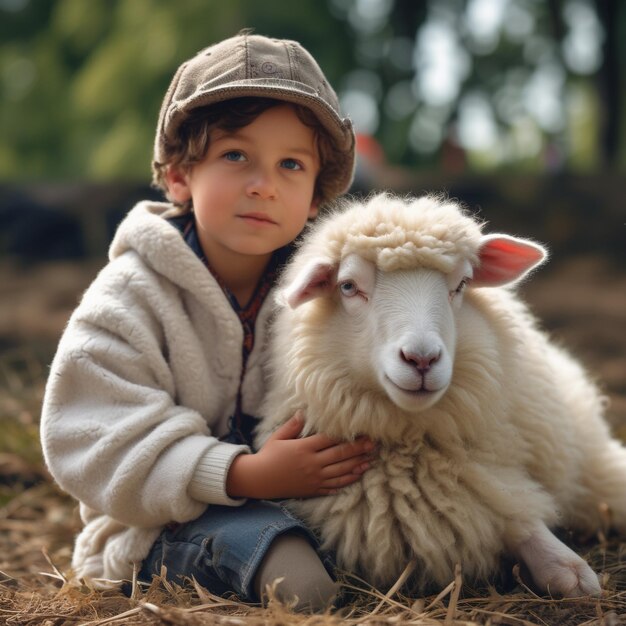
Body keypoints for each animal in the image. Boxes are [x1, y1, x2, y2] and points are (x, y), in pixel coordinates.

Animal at [252, 191, 624, 596]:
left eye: (462, 283)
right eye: (348, 286)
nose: (422, 359)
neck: (411, 444)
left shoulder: (492, 485)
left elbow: (521, 518)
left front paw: (571, 571)